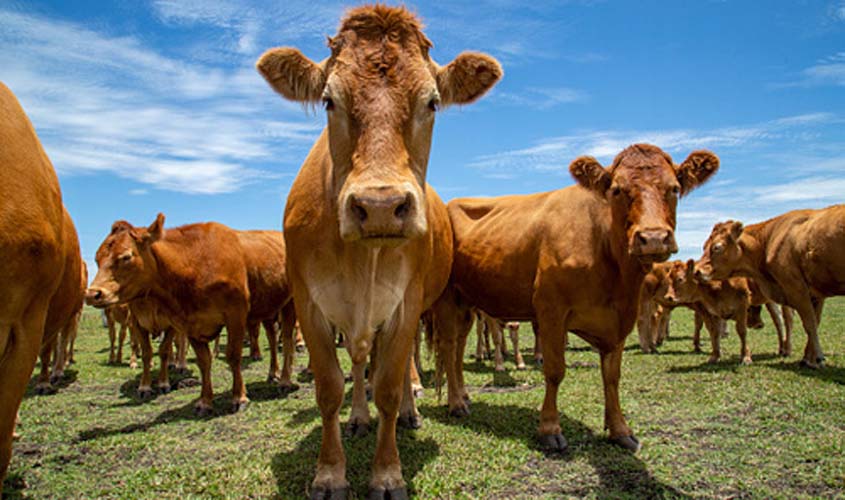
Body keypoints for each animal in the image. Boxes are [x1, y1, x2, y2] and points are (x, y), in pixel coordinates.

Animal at [254, 5, 498, 498]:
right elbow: (331, 387)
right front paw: (330, 472)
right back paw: (359, 418)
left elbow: (387, 383)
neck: (360, 261)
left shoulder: (406, 304)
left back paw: (410, 412)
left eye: (432, 102)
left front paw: (387, 473)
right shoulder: (309, 304)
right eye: (329, 100)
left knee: (407, 365)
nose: (381, 206)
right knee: (362, 361)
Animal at [432, 143, 716, 452]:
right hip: (447, 298)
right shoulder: (551, 311)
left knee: (459, 347)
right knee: (448, 346)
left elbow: (612, 376)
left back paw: (462, 394)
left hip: (466, 301)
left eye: (674, 188)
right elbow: (555, 370)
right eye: (617, 189)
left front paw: (620, 430)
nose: (653, 238)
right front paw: (549, 429)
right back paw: (456, 403)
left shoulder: (620, 318)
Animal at [692, 205, 844, 370]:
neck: (767, 240)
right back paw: (783, 348)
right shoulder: (815, 295)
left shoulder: (796, 289)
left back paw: (787, 349)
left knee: (785, 320)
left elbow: (810, 324)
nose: (696, 271)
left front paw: (817, 358)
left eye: (717, 247)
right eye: (704, 246)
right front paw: (809, 358)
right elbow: (814, 322)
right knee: (780, 321)